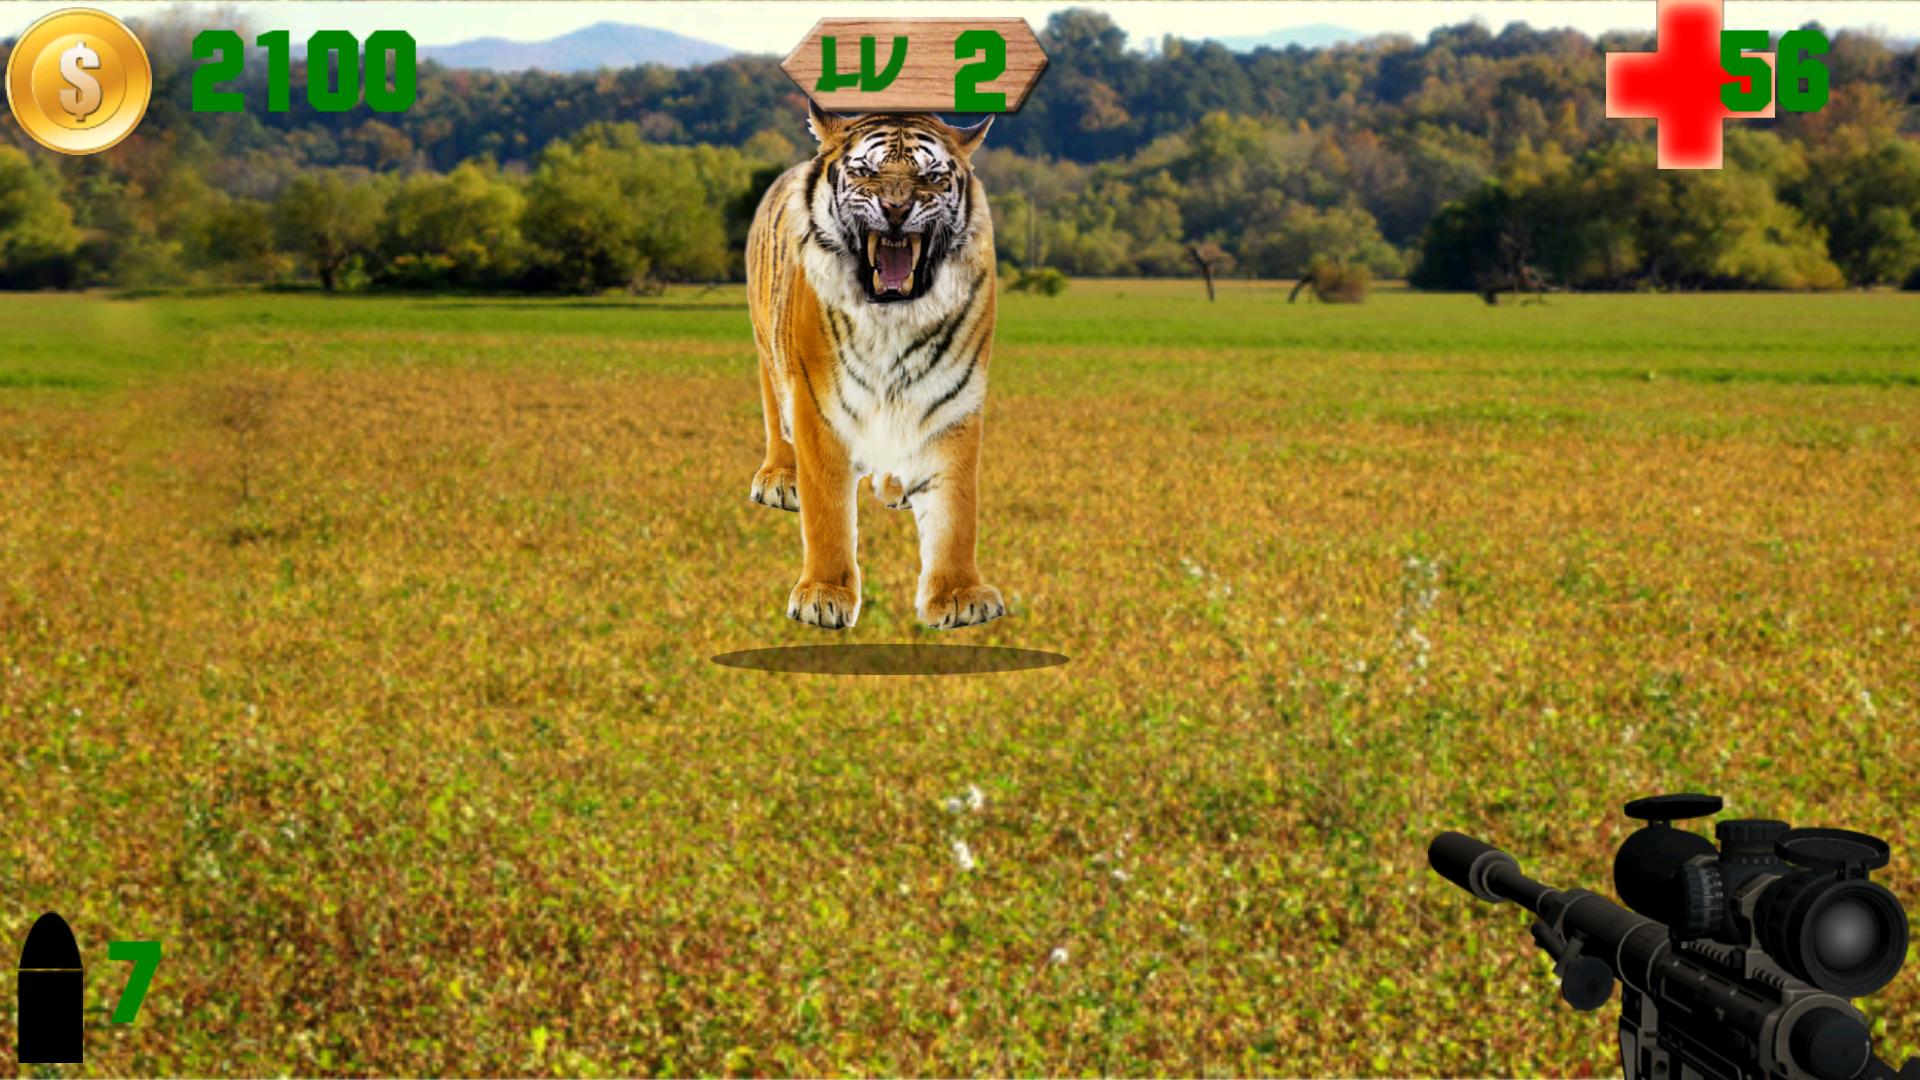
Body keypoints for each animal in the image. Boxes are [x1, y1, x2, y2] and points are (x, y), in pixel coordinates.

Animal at [745, 103, 1005, 631]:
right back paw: (781, 479)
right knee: (776, 416)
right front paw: (823, 596)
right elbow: (827, 510)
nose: (897, 210)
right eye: (865, 172)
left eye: (931, 177)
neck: (893, 320)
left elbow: (956, 511)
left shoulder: (954, 402)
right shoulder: (818, 406)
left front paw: (960, 595)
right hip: (767, 347)